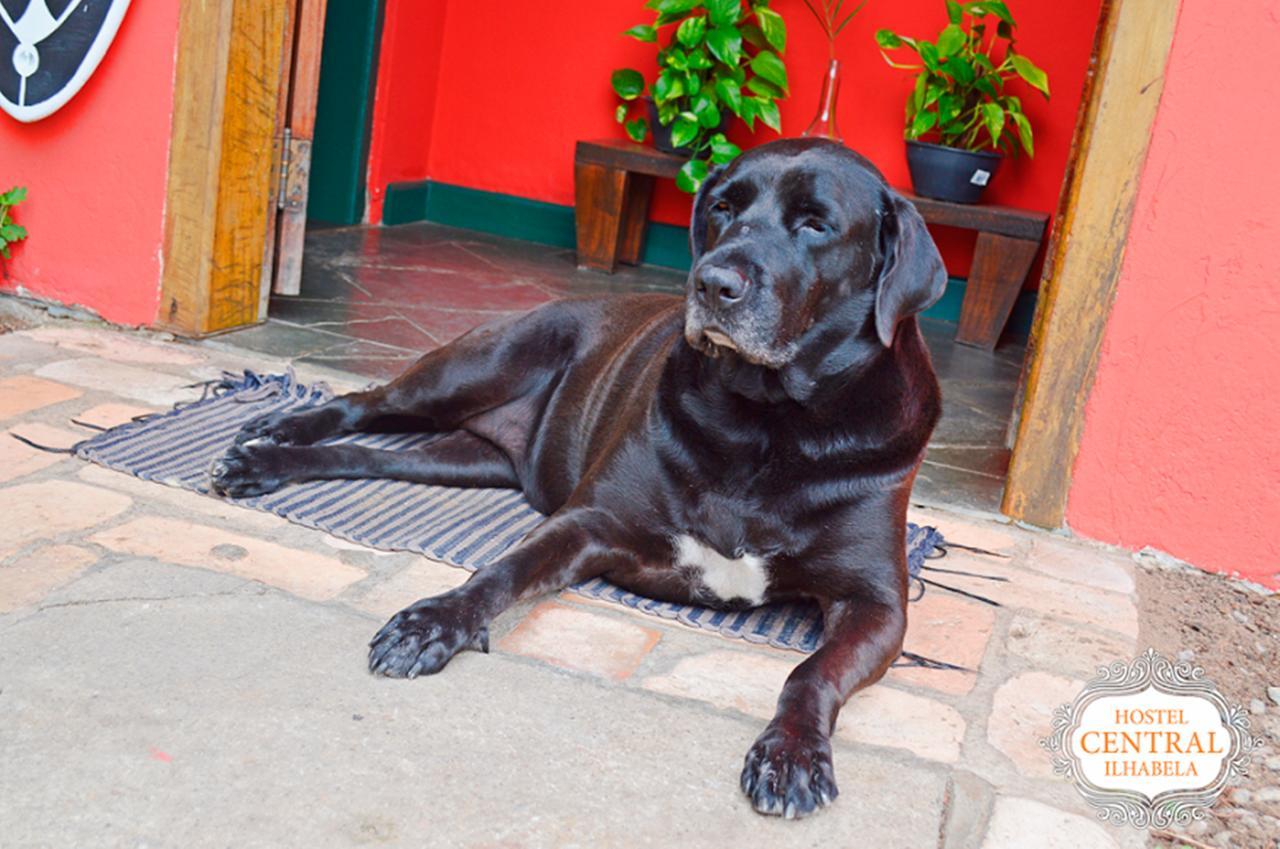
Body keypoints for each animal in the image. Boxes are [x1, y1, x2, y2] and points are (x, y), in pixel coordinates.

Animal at [212, 139, 952, 819]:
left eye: (816, 223)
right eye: (722, 207)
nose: (712, 283)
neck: (767, 420)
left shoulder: (876, 602)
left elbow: (812, 670)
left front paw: (791, 752)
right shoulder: (590, 522)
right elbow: (501, 571)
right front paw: (434, 622)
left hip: (458, 454)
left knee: (368, 454)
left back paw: (270, 461)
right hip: (477, 364)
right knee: (363, 403)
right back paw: (271, 438)